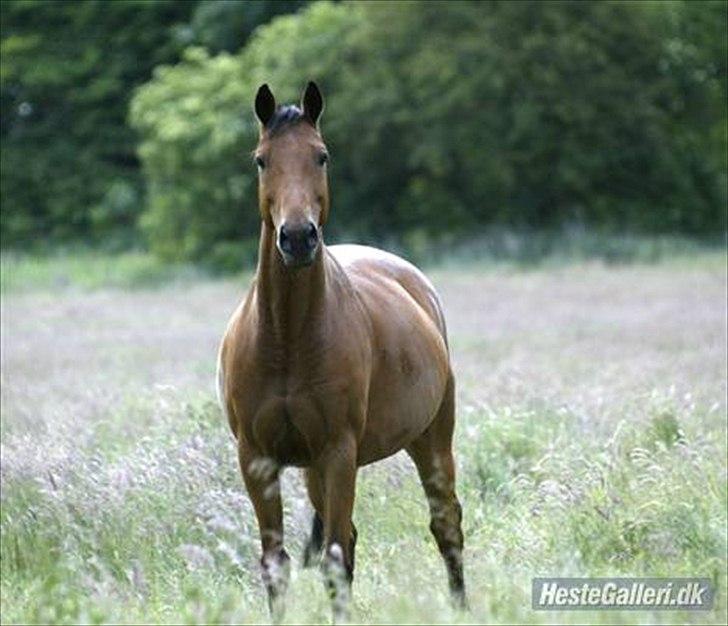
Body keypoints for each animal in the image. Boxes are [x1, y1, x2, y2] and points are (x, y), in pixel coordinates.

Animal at [216, 81, 466, 620]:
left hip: (431, 439)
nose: (297, 237)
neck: (287, 340)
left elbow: (334, 561)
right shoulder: (257, 460)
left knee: (445, 525)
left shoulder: (338, 454)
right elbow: (277, 565)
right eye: (261, 160)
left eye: (322, 155)